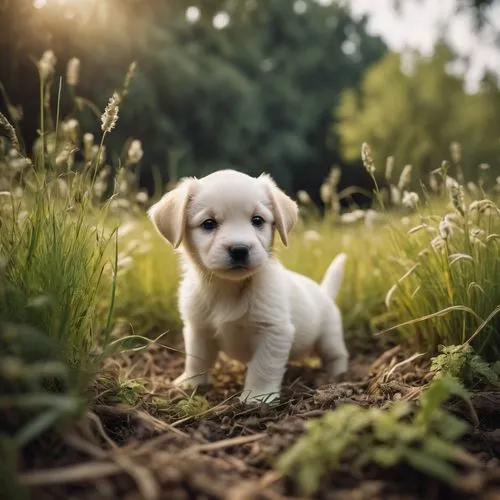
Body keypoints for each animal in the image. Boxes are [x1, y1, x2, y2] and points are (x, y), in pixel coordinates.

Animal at [150, 170, 350, 404]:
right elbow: (196, 359)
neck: (228, 288)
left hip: (329, 337)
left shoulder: (274, 331)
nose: (239, 249)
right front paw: (191, 383)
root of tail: (323, 291)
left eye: (257, 220)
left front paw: (258, 396)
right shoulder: (198, 329)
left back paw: (337, 375)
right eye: (208, 223)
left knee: (337, 355)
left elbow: (263, 366)